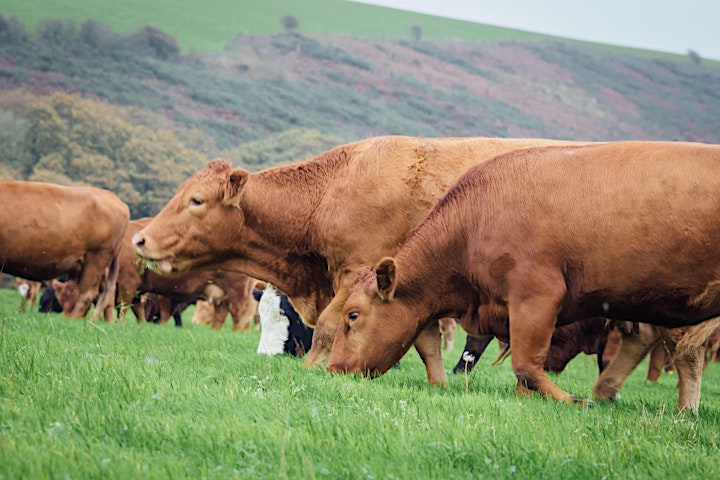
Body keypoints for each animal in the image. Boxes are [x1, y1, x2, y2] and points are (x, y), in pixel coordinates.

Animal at [132, 136, 584, 386]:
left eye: (196, 200)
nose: (140, 239)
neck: (334, 188)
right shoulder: (405, 291)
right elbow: (424, 340)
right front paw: (438, 383)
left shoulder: (362, 275)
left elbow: (329, 327)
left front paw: (314, 367)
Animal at [328, 140, 720, 408]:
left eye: (353, 315)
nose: (332, 368)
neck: (471, 221)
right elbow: (526, 365)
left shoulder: (536, 296)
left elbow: (526, 365)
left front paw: (570, 400)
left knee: (684, 353)